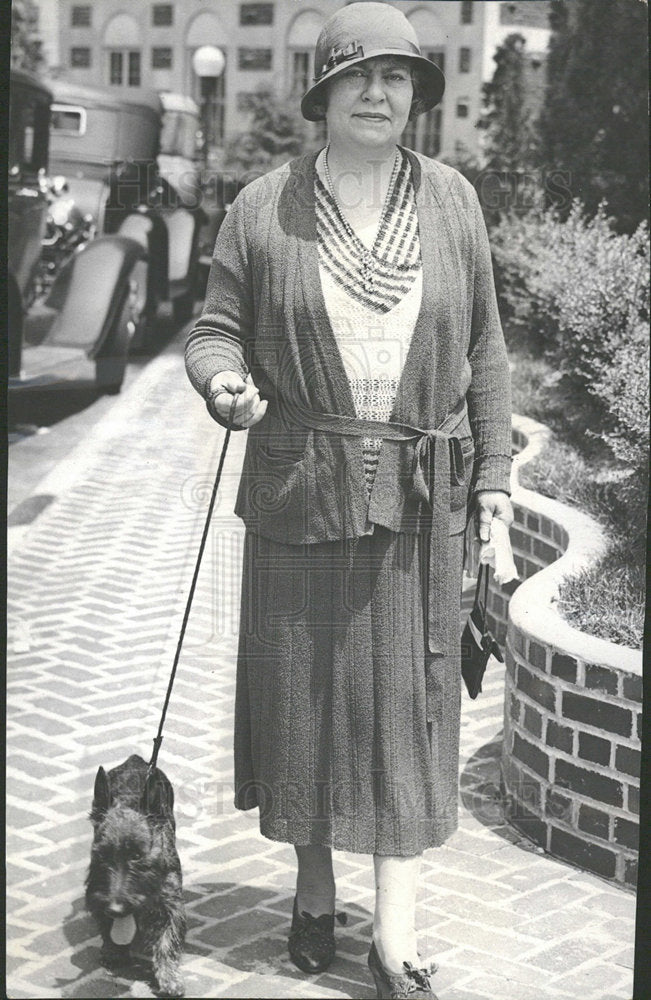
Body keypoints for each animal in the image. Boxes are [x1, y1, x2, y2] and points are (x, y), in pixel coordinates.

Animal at [84, 752, 186, 996]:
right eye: (101, 854)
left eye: (138, 855)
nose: (115, 908)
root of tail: (135, 759)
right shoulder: (99, 896)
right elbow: (108, 927)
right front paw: (113, 951)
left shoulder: (171, 903)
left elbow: (168, 940)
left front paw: (170, 979)